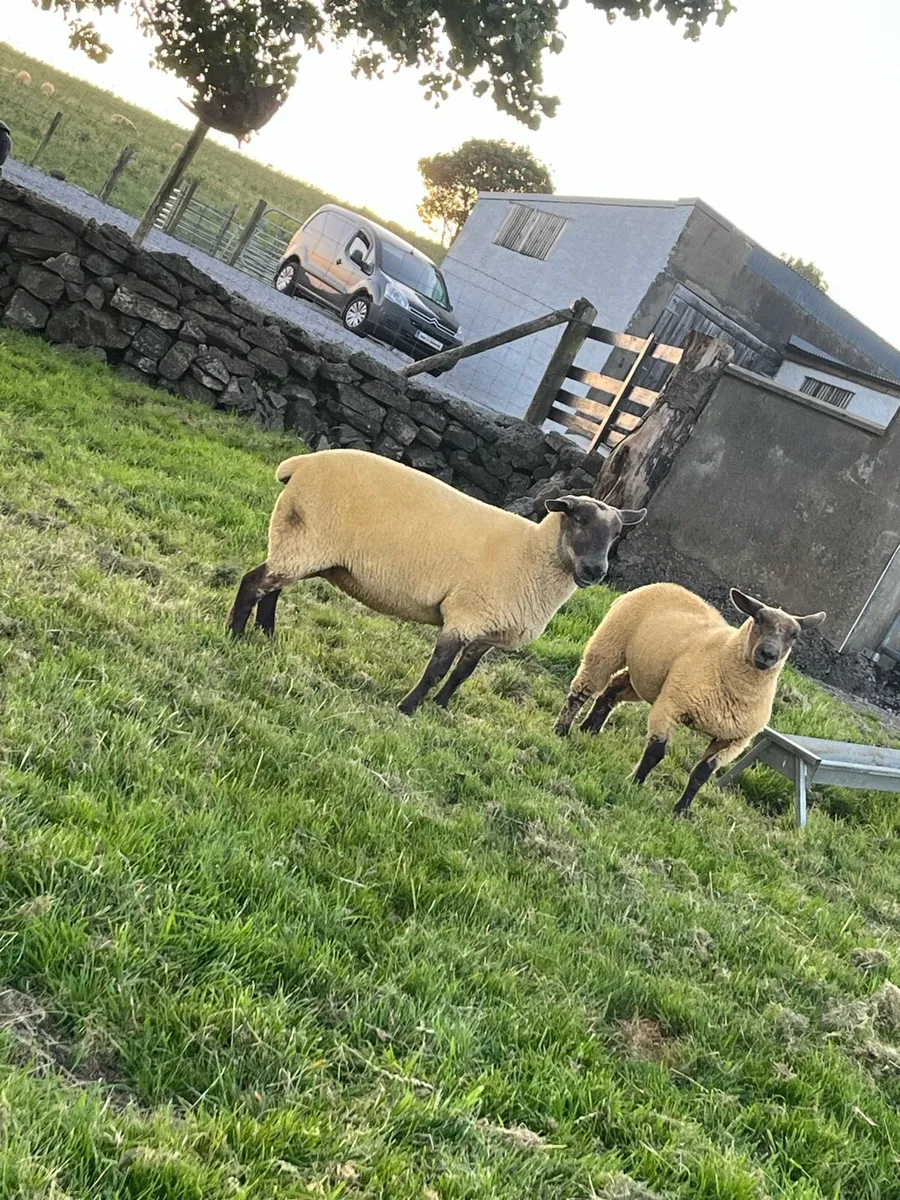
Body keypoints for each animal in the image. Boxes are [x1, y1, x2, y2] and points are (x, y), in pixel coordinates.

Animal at [227, 449, 646, 715]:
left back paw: (267, 635)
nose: (595, 571)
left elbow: (462, 674)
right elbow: (437, 670)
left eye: (617, 534)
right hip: (305, 541)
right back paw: (235, 636)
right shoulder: (464, 617)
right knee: (253, 583)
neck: (533, 555)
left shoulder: (486, 630)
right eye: (579, 520)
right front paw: (408, 708)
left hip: (305, 548)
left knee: (272, 590)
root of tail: (301, 464)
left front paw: (442, 708)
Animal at [555, 582, 825, 816]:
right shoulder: (671, 705)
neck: (723, 658)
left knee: (612, 689)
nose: (767, 654)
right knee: (582, 690)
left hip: (649, 677)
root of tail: (667, 585)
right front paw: (634, 783)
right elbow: (655, 753)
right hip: (609, 645)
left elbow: (701, 774)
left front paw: (681, 811)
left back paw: (589, 729)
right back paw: (562, 730)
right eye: (758, 619)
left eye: (794, 635)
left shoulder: (733, 740)